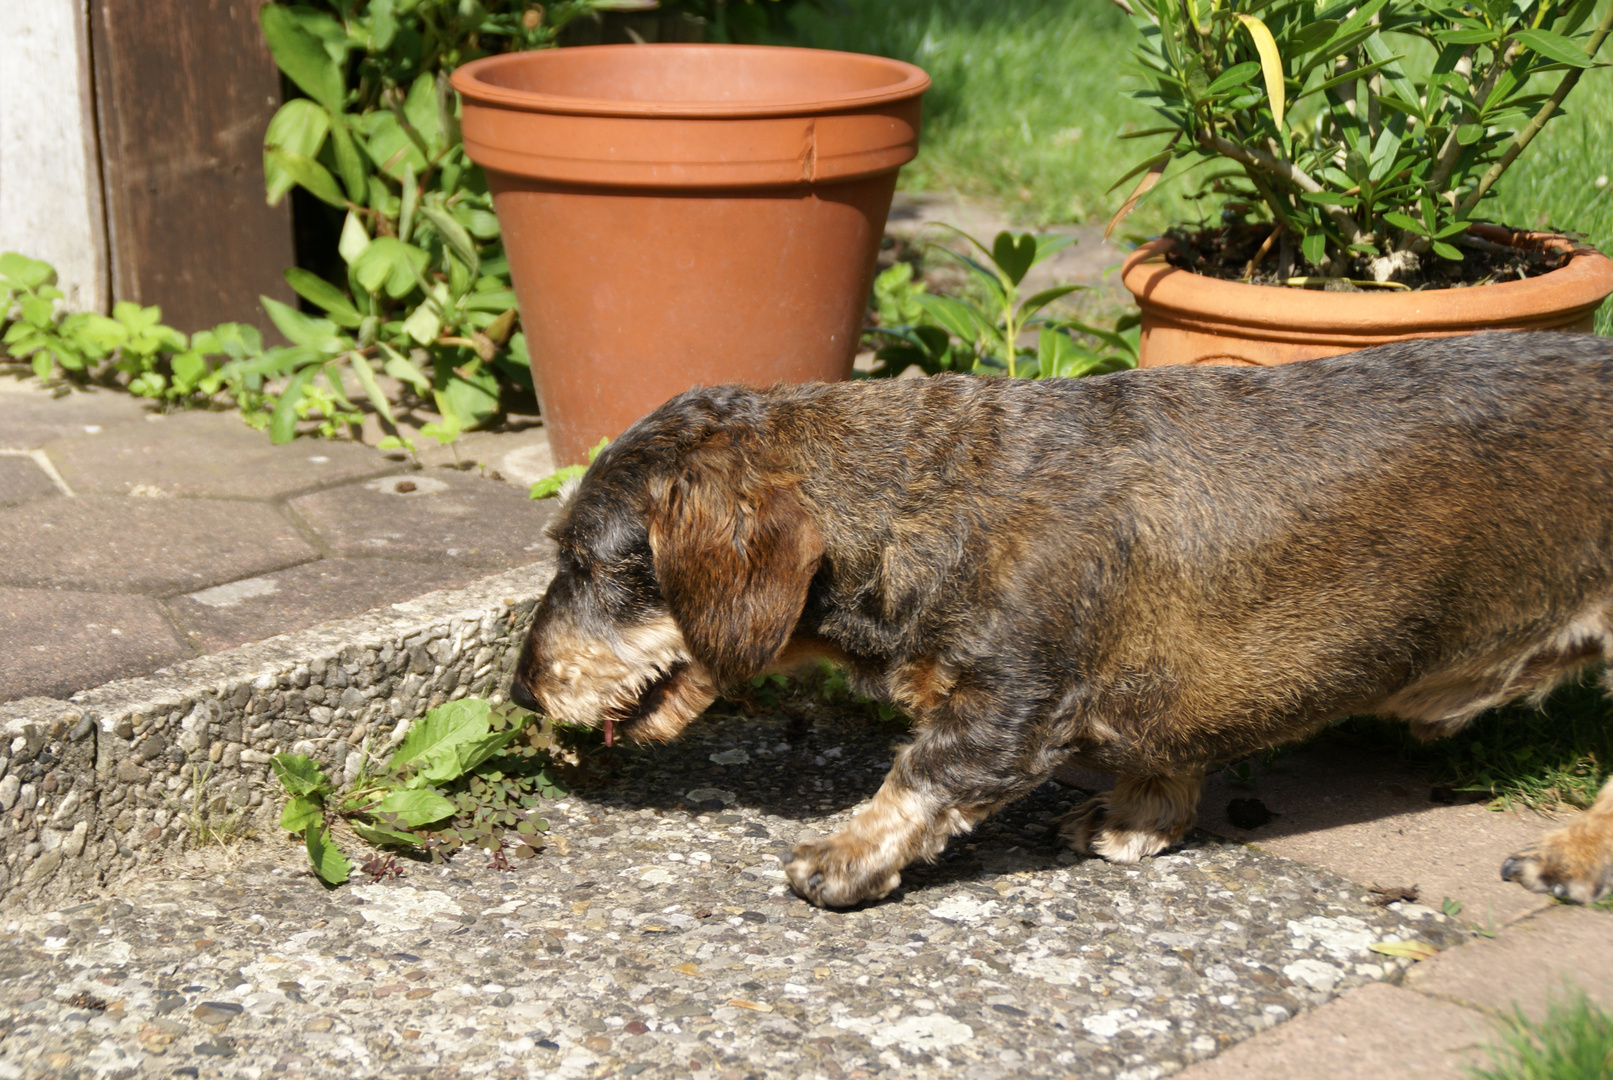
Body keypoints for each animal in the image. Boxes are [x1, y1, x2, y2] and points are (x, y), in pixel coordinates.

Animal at [509, 333, 1613, 909]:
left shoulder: (1011, 703)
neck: (927, 494)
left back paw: (1572, 857)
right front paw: (1134, 821)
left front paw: (842, 857)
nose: (519, 689)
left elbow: (923, 776)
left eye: (587, 562)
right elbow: (1164, 756)